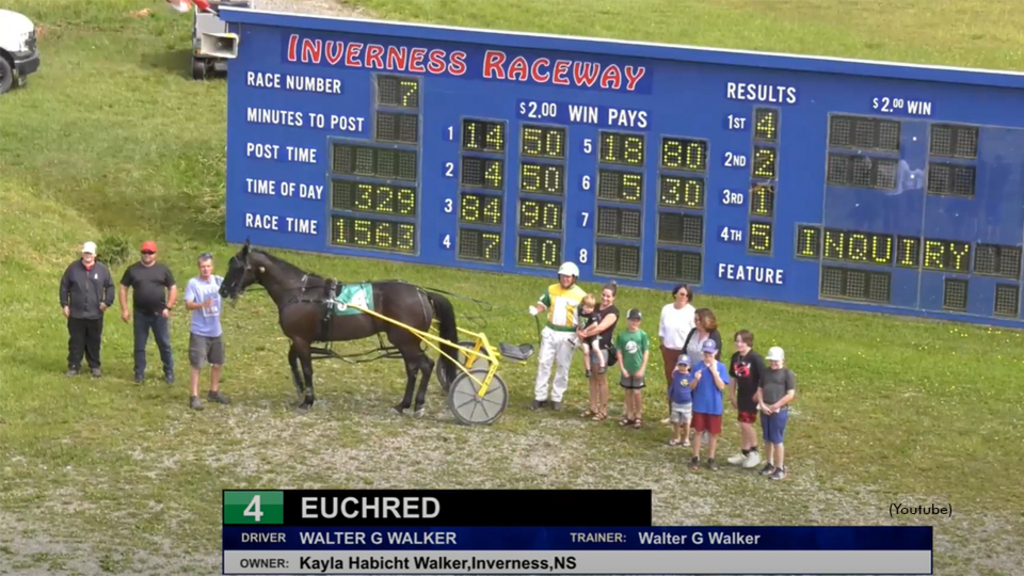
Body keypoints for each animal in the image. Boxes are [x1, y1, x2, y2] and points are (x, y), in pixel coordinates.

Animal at [221, 239, 460, 414]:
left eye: (238, 267)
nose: (223, 290)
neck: (300, 292)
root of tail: (422, 293)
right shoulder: (299, 340)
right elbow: (292, 360)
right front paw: (299, 387)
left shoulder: (301, 340)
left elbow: (307, 369)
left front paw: (308, 400)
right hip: (406, 343)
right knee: (413, 369)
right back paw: (404, 404)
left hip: (406, 341)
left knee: (425, 366)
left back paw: (417, 404)